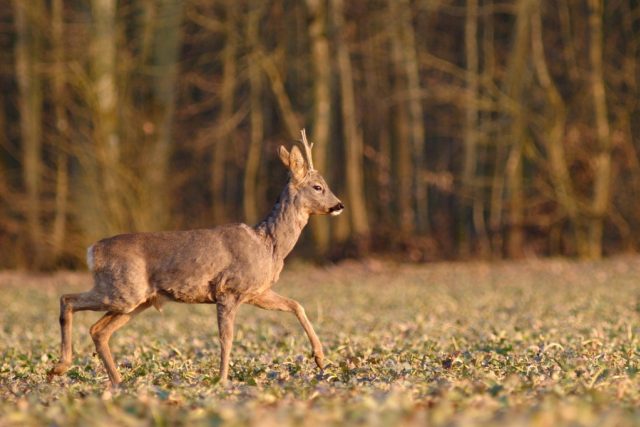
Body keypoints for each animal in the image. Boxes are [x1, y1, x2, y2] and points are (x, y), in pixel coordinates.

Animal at [48, 130, 344, 388]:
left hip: (136, 301)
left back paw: (118, 382)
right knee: (67, 299)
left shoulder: (256, 292)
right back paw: (60, 368)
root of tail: (92, 250)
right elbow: (226, 338)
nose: (339, 205)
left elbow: (296, 305)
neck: (268, 245)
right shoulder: (228, 289)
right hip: (123, 291)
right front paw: (222, 380)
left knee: (98, 330)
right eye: (318, 186)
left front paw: (320, 359)